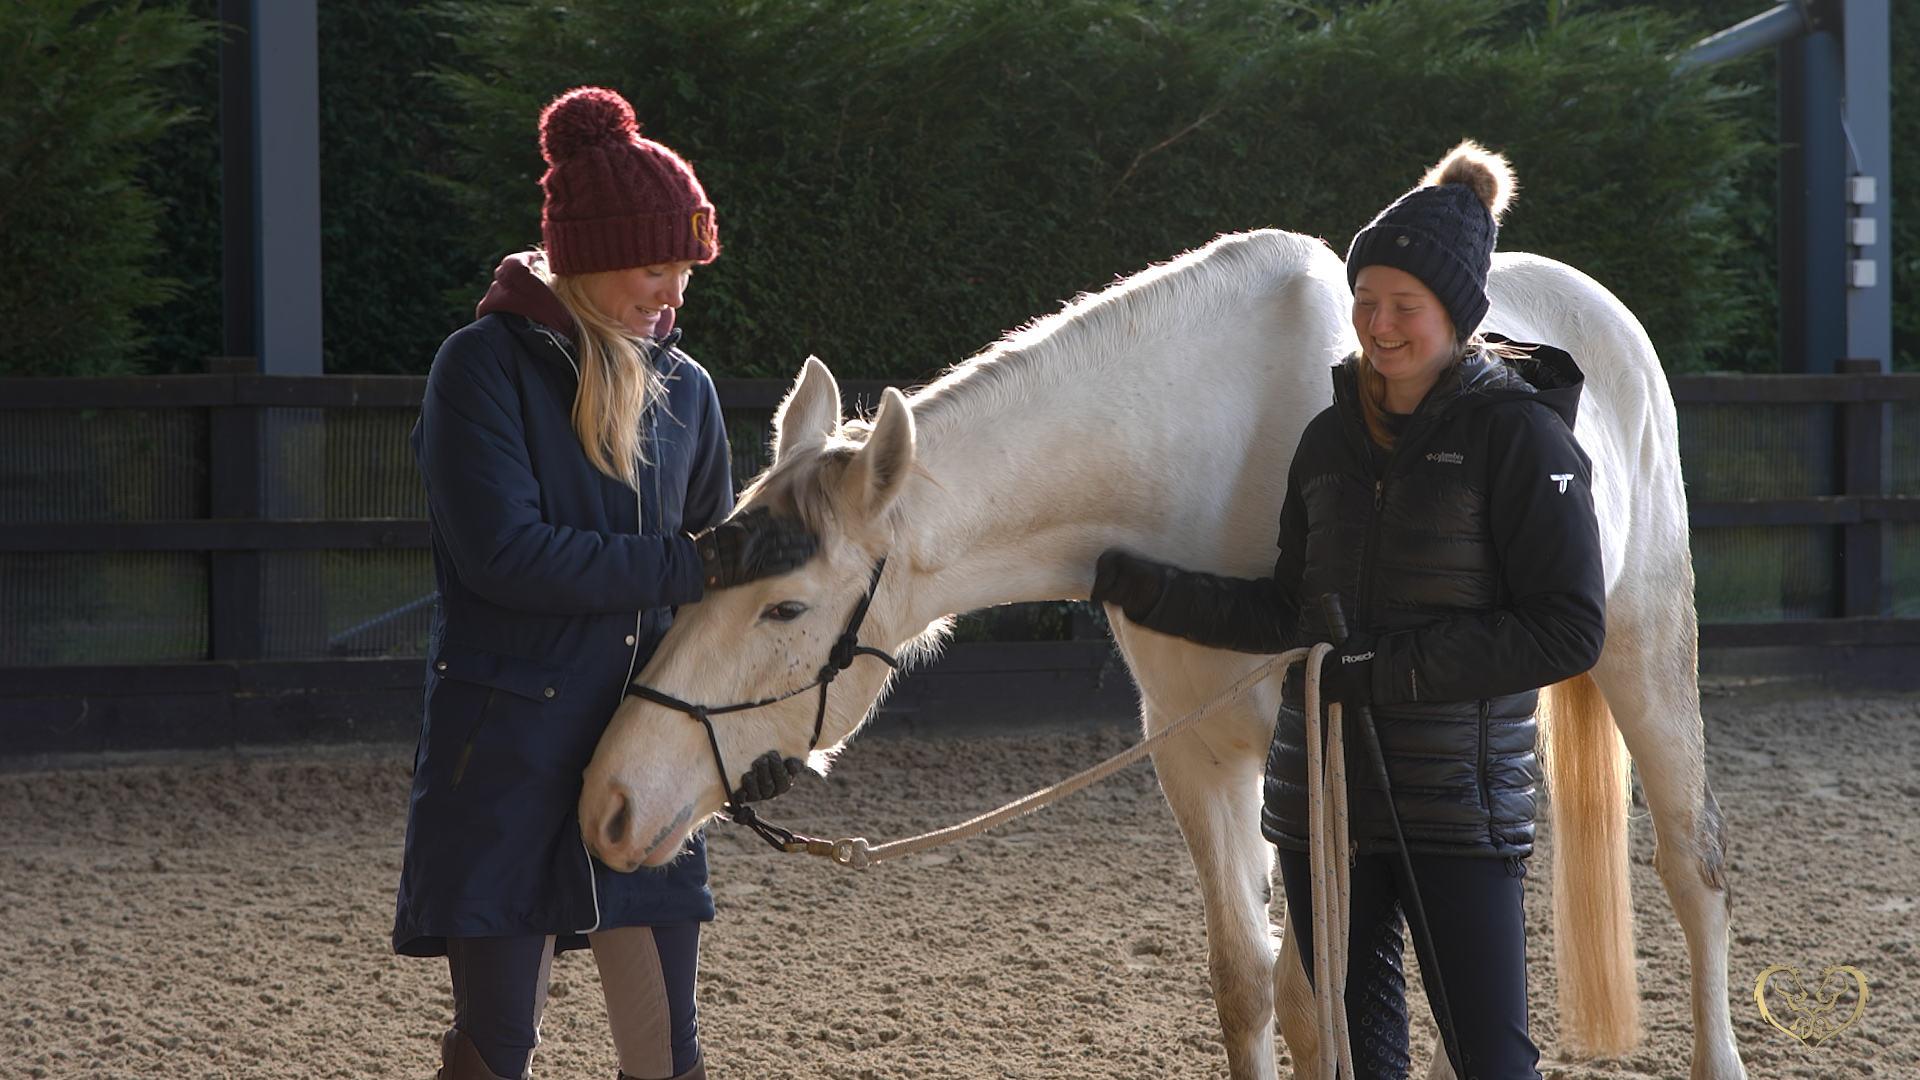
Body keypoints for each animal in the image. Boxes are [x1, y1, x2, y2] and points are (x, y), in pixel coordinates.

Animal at [577, 229, 1746, 1080]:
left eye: (784, 607)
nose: (608, 803)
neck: (1206, 451)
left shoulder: (1308, 764)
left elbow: (1313, 1003)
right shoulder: (1199, 757)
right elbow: (1249, 984)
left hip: (1644, 648)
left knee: (1693, 870)